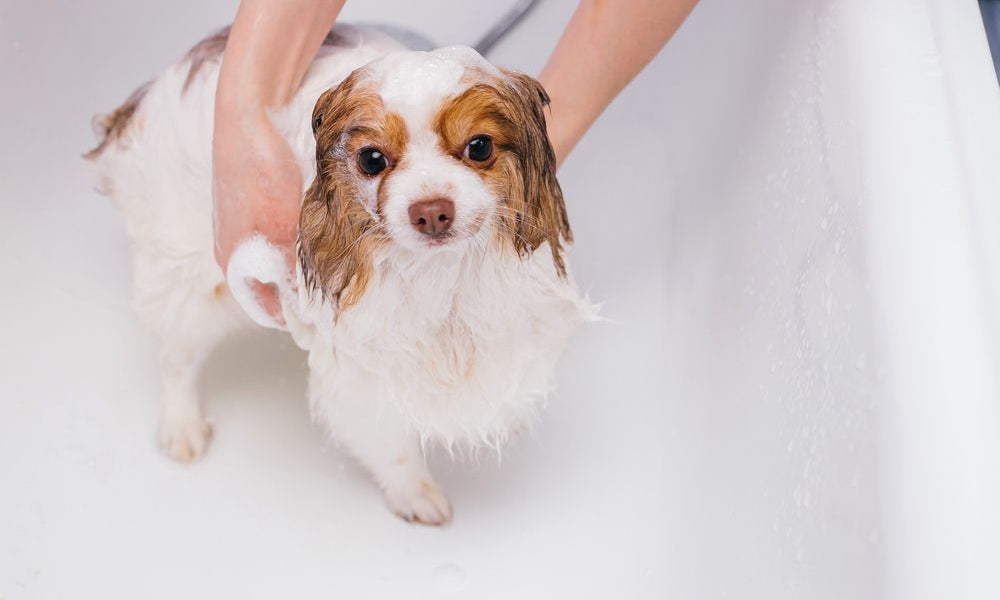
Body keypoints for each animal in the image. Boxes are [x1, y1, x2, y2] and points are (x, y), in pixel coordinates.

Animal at [88, 25, 592, 524]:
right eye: (372, 160)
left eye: (480, 147)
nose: (431, 211)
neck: (439, 275)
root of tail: (151, 94)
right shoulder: (362, 367)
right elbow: (392, 444)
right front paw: (415, 493)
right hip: (192, 287)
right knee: (177, 358)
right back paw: (182, 427)